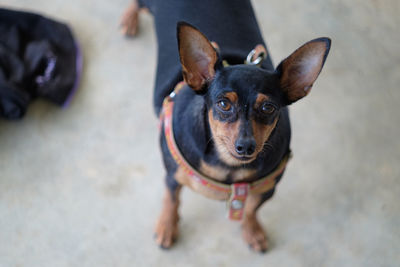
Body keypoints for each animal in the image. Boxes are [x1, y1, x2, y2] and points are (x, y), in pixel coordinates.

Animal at [121, 0, 332, 252]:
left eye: (269, 108)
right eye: (223, 104)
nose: (246, 146)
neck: (229, 166)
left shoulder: (267, 189)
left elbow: (250, 209)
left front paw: (252, 231)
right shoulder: (172, 176)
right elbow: (171, 200)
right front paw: (167, 226)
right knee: (136, 4)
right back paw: (129, 20)